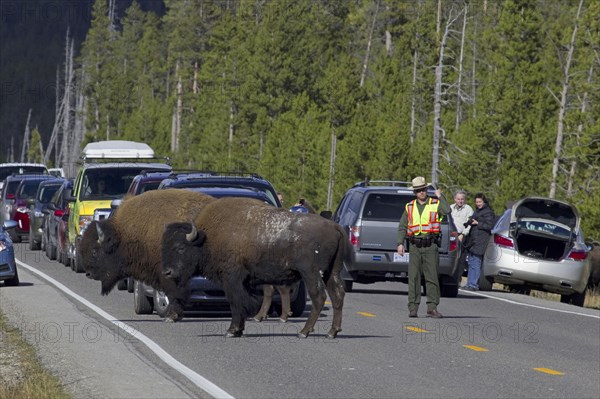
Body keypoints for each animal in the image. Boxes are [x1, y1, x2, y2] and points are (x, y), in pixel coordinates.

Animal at [78, 190, 216, 322]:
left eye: (94, 251)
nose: (88, 273)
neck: (123, 234)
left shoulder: (168, 275)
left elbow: (173, 294)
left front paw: (171, 317)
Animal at [162, 198, 346, 340]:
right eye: (165, 246)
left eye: (180, 248)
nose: (167, 272)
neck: (207, 238)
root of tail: (334, 227)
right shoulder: (244, 282)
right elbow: (243, 302)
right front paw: (239, 330)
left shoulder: (232, 279)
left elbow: (236, 301)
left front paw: (231, 331)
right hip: (332, 272)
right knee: (337, 295)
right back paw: (332, 332)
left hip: (310, 273)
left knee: (319, 297)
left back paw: (304, 332)